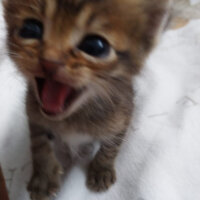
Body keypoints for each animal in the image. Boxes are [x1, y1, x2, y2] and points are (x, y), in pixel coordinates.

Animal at [3, 0, 169, 199]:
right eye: (30, 29)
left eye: (95, 46)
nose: (49, 61)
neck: (72, 117)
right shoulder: (33, 112)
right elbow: (38, 142)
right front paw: (43, 177)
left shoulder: (122, 116)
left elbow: (111, 146)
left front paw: (101, 170)